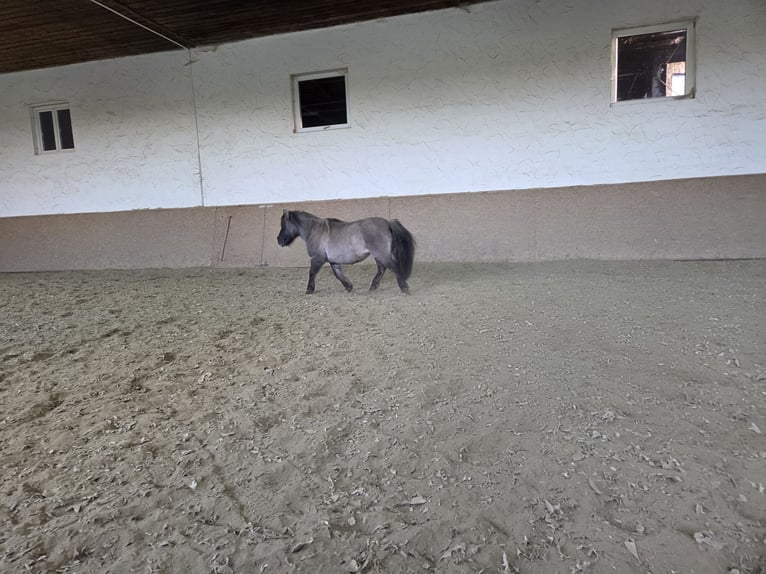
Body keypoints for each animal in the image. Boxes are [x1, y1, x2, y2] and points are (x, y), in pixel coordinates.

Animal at [277, 210, 416, 294]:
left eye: (283, 225)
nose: (279, 240)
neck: (314, 230)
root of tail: (387, 222)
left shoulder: (317, 259)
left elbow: (312, 273)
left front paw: (309, 289)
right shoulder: (333, 261)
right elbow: (338, 274)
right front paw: (349, 287)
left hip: (381, 254)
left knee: (393, 267)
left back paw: (404, 288)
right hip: (378, 255)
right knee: (382, 269)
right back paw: (373, 286)